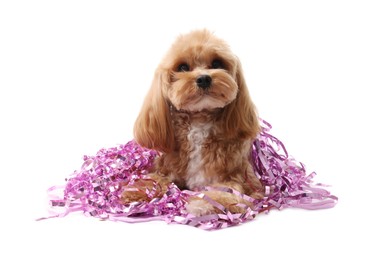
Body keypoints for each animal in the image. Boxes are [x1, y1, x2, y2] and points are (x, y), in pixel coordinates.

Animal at [121, 29, 264, 215]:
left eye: (217, 63)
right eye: (182, 67)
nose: (204, 79)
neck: (199, 121)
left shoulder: (242, 179)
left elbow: (226, 192)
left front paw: (202, 203)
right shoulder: (166, 168)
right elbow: (155, 178)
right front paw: (136, 190)